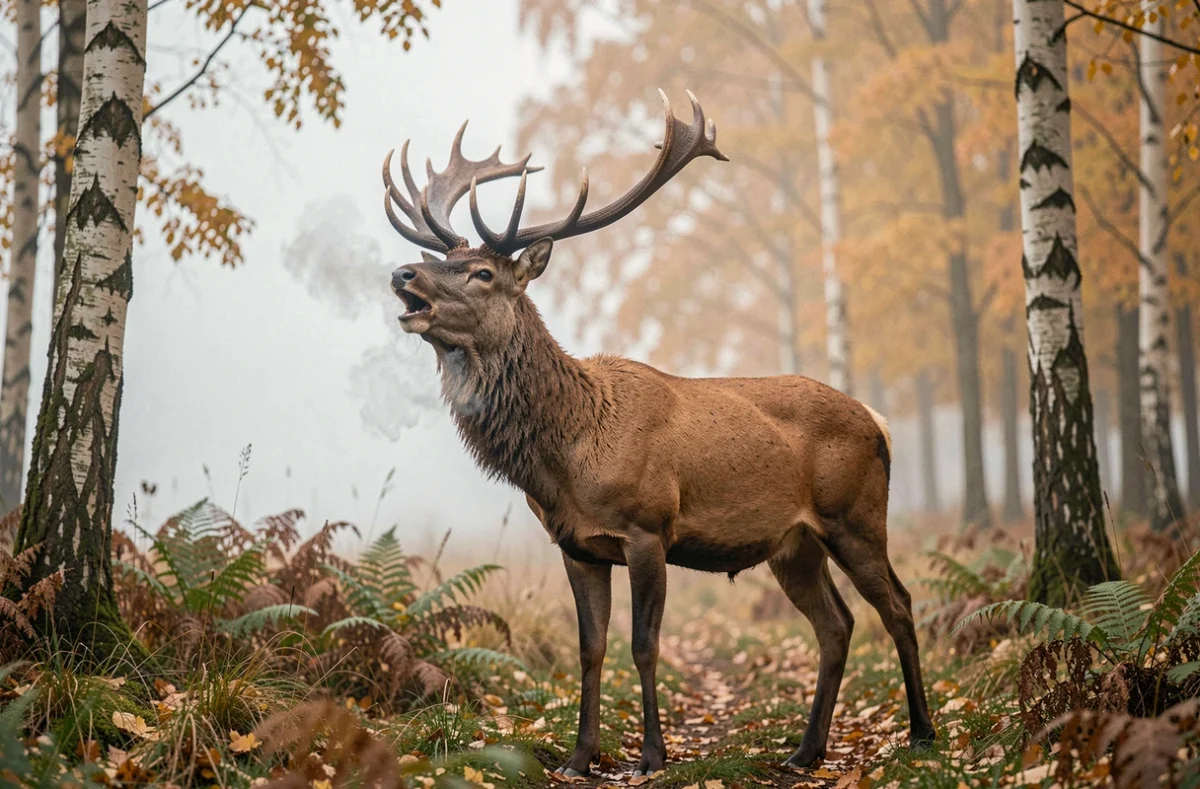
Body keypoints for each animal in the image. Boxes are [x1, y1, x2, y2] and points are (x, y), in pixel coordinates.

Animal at [382, 90, 935, 778]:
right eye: (444, 261)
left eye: (482, 272)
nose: (404, 275)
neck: (568, 455)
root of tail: (878, 422)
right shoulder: (576, 545)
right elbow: (591, 649)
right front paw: (579, 757)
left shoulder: (649, 527)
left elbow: (645, 645)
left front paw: (651, 754)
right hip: (794, 543)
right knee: (836, 624)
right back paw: (805, 752)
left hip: (855, 516)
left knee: (899, 605)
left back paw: (920, 732)